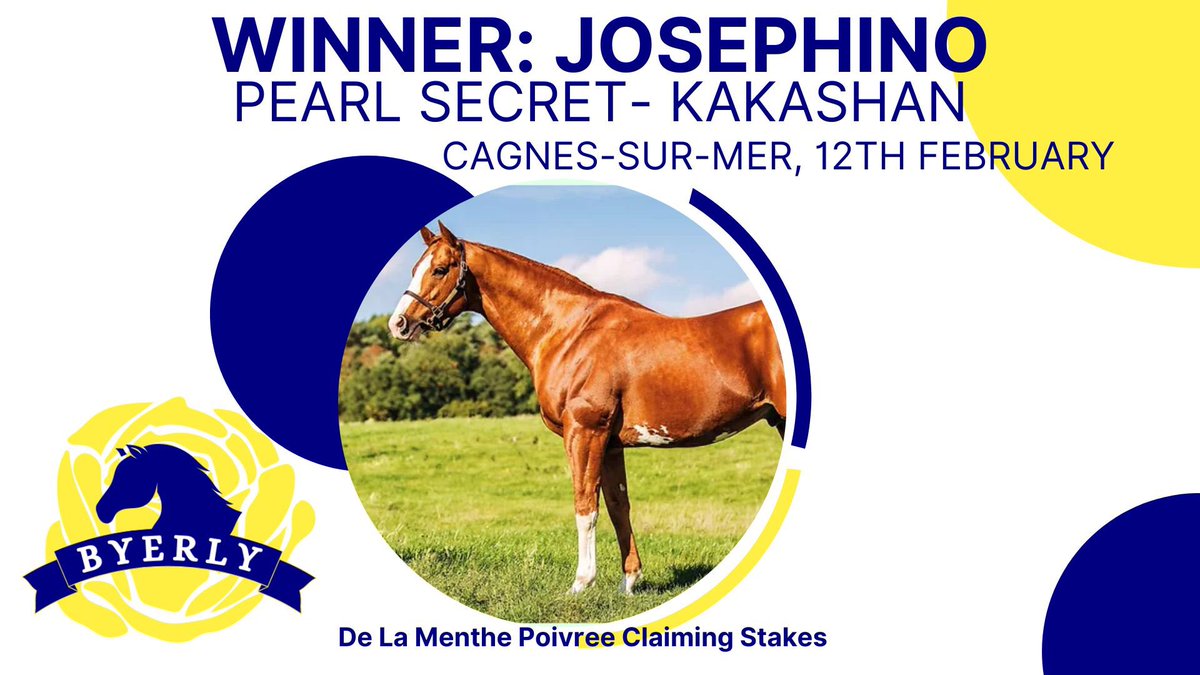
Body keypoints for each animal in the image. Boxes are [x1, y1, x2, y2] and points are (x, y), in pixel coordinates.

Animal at [388, 222, 786, 595]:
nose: (399, 324)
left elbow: (585, 506)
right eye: (414, 268)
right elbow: (617, 506)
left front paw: (582, 582)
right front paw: (629, 581)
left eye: (440, 270)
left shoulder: (584, 432)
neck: (571, 331)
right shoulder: (610, 444)